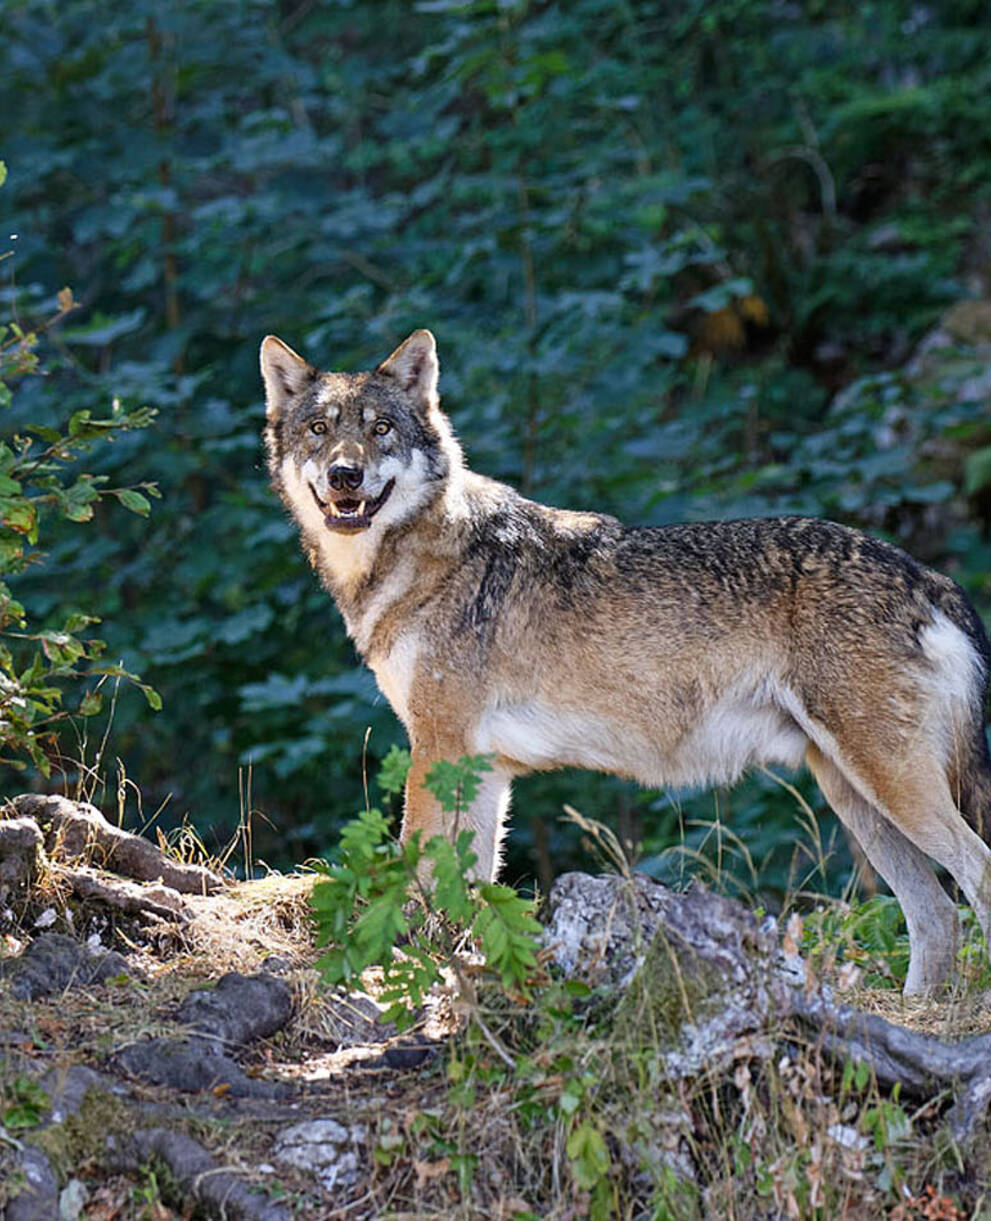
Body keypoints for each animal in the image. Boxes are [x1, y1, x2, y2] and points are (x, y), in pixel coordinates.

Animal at [261, 327, 991, 995]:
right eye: (320, 431)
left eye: (381, 429)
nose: (345, 476)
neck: (416, 559)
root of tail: (928, 577)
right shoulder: (482, 768)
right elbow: (472, 891)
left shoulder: (437, 750)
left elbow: (417, 877)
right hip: (854, 795)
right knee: (935, 915)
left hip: (888, 782)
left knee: (975, 874)